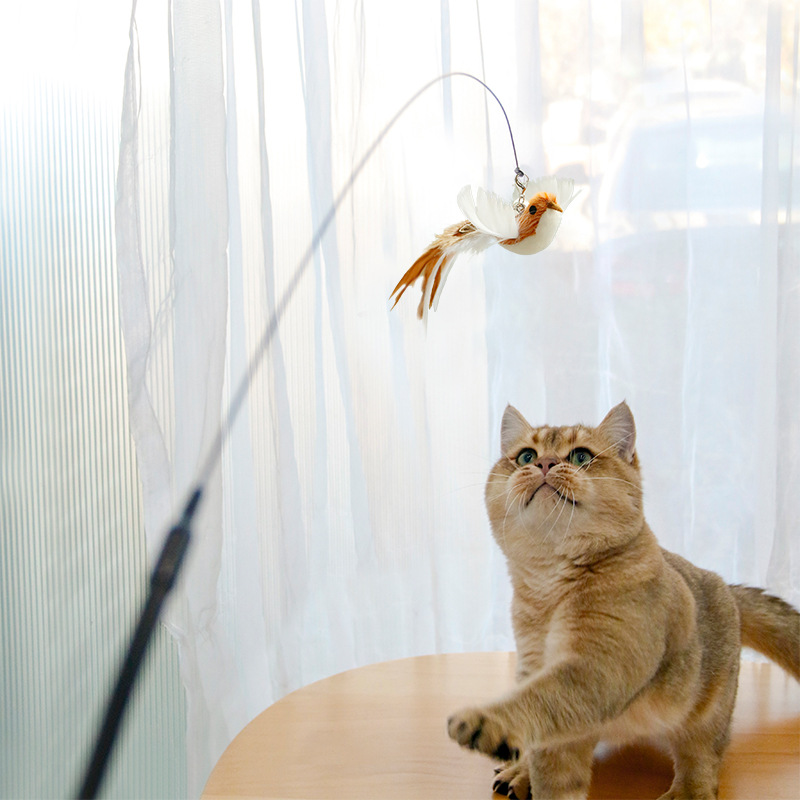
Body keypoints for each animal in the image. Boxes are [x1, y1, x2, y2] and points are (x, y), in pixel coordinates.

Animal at [447, 402, 800, 800]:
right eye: (526, 456)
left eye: (580, 456)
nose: (545, 463)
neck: (550, 585)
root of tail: (724, 584)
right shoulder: (535, 665)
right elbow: (550, 754)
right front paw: (529, 770)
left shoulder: (600, 667)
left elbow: (542, 700)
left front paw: (486, 721)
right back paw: (518, 772)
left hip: (709, 708)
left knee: (702, 753)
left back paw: (689, 790)